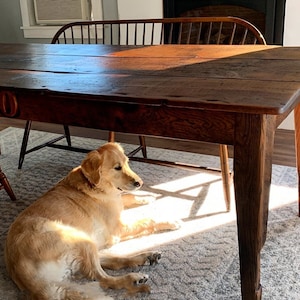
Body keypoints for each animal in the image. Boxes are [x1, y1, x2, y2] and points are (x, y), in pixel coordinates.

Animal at [5, 142, 178, 298]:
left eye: (127, 162)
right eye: (117, 167)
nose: (140, 183)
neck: (95, 185)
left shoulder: (116, 201)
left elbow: (128, 197)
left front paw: (148, 196)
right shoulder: (117, 229)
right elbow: (147, 220)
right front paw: (170, 221)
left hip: (88, 245)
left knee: (113, 262)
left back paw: (147, 256)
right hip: (81, 240)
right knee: (104, 279)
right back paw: (134, 279)